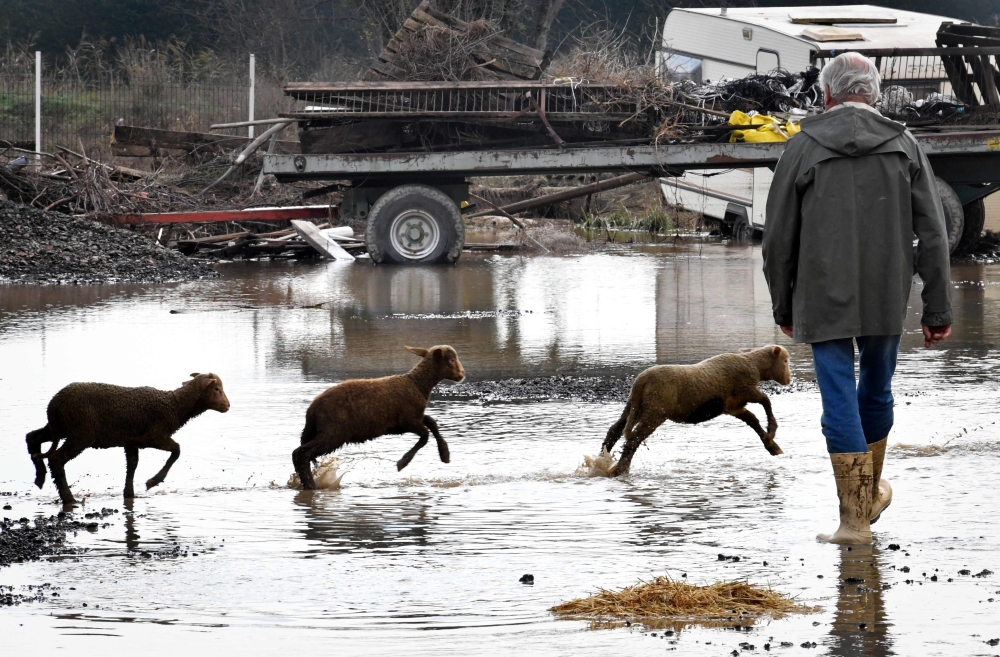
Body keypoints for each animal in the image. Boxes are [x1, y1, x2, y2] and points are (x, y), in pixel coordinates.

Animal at [25, 373, 230, 505]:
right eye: (217, 389)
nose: (228, 406)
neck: (175, 406)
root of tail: (53, 404)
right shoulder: (154, 436)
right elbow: (177, 450)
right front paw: (153, 481)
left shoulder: (131, 441)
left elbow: (132, 465)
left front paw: (129, 494)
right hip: (80, 433)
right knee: (56, 459)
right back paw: (68, 497)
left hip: (60, 428)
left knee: (32, 437)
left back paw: (39, 477)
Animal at [292, 345, 465, 490]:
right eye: (451, 360)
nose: (462, 374)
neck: (417, 384)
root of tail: (312, 408)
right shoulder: (408, 421)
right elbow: (425, 435)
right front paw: (403, 462)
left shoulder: (410, 420)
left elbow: (432, 423)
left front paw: (445, 454)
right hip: (333, 432)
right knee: (300, 454)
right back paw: (311, 485)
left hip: (317, 430)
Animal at [602, 346, 791, 476]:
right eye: (786, 361)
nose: (789, 379)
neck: (754, 365)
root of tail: (641, 380)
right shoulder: (746, 390)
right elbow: (766, 401)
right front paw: (772, 430)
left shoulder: (732, 406)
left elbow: (753, 420)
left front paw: (772, 446)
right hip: (655, 411)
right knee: (634, 438)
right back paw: (619, 469)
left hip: (634, 406)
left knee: (615, 429)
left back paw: (603, 458)